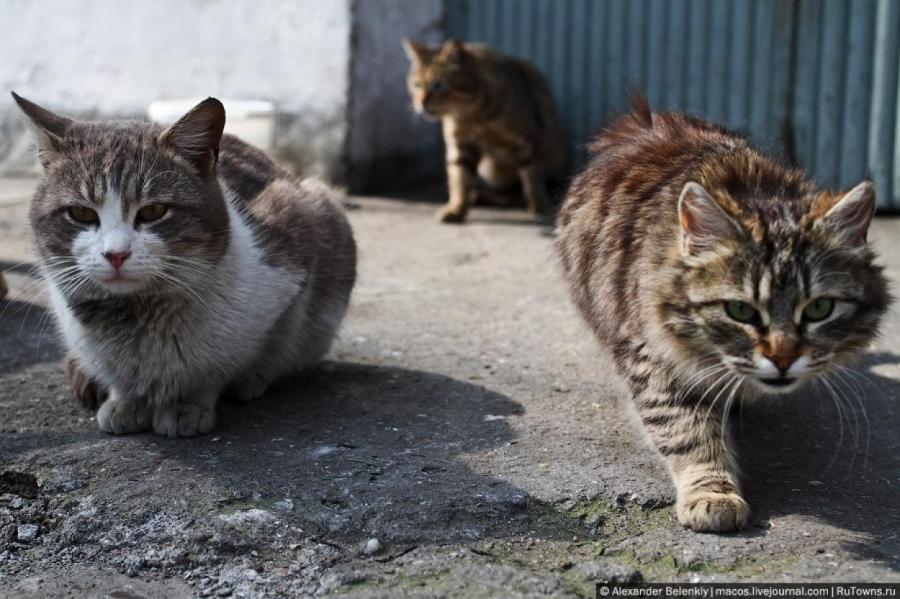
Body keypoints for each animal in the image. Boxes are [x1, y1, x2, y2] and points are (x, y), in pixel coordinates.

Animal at [13, 95, 358, 440]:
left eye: (154, 211)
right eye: (81, 214)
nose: (116, 254)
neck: (136, 317)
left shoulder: (294, 244)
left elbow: (232, 361)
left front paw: (188, 404)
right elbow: (120, 382)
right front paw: (125, 401)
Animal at [406, 38, 568, 224]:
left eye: (438, 86)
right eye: (416, 85)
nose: (421, 103)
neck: (474, 115)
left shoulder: (529, 139)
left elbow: (532, 177)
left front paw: (539, 206)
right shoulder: (461, 145)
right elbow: (459, 178)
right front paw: (456, 208)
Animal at [560, 98, 888, 536]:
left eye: (819, 309)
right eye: (740, 310)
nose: (782, 358)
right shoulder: (650, 357)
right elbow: (688, 433)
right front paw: (712, 493)